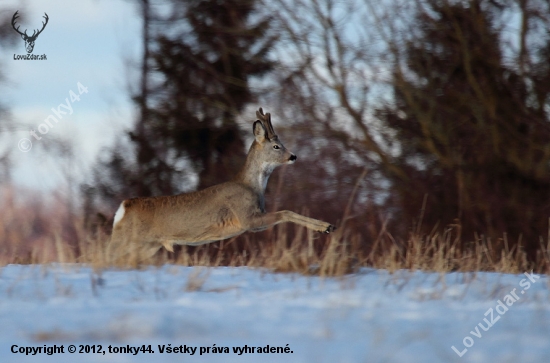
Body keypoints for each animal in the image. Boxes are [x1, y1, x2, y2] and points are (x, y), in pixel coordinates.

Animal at [109, 106, 336, 264]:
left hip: (147, 246)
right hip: (126, 240)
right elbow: (285, 212)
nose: (293, 156)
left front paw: (328, 227)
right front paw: (325, 227)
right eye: (276, 146)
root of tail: (124, 207)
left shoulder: (255, 221)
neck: (252, 186)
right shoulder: (246, 218)